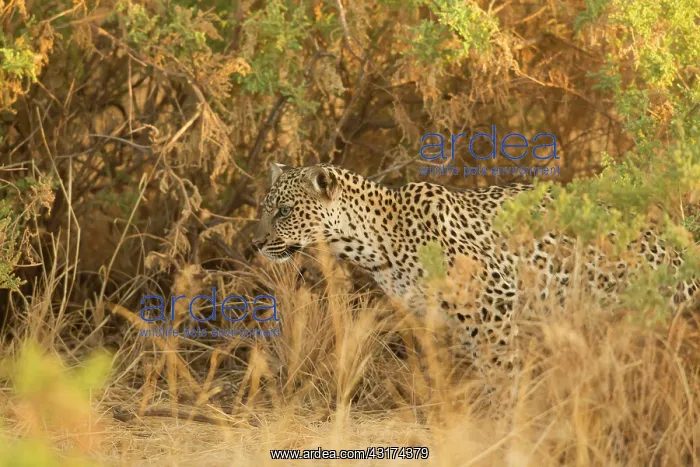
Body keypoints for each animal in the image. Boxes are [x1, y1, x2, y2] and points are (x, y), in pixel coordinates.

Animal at [253, 162, 699, 381]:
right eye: (266, 207)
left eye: (284, 211)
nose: (256, 244)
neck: (376, 243)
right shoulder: (442, 319)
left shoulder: (496, 300)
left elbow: (501, 369)